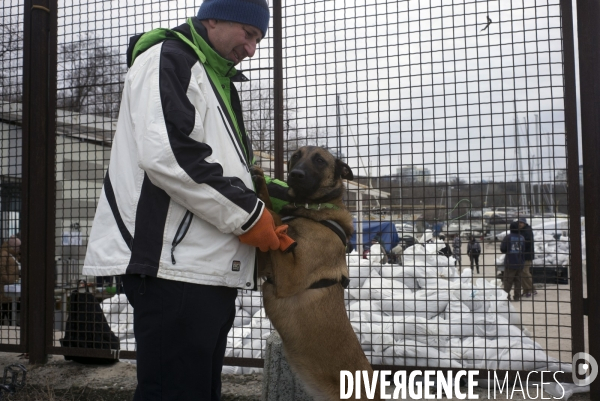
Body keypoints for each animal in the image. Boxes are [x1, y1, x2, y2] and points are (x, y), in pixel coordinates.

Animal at [253, 147, 380, 400]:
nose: (295, 174)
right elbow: (275, 224)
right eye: (295, 156)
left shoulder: (290, 277)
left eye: (320, 160)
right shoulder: (268, 262)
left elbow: (274, 216)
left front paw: (262, 188)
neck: (313, 210)